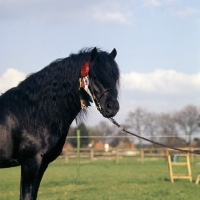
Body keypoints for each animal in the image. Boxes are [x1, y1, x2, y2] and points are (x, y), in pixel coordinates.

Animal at [0, 47, 119, 199]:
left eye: (115, 78)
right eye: (95, 77)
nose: (113, 107)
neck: (33, 113)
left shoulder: (42, 164)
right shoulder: (30, 163)